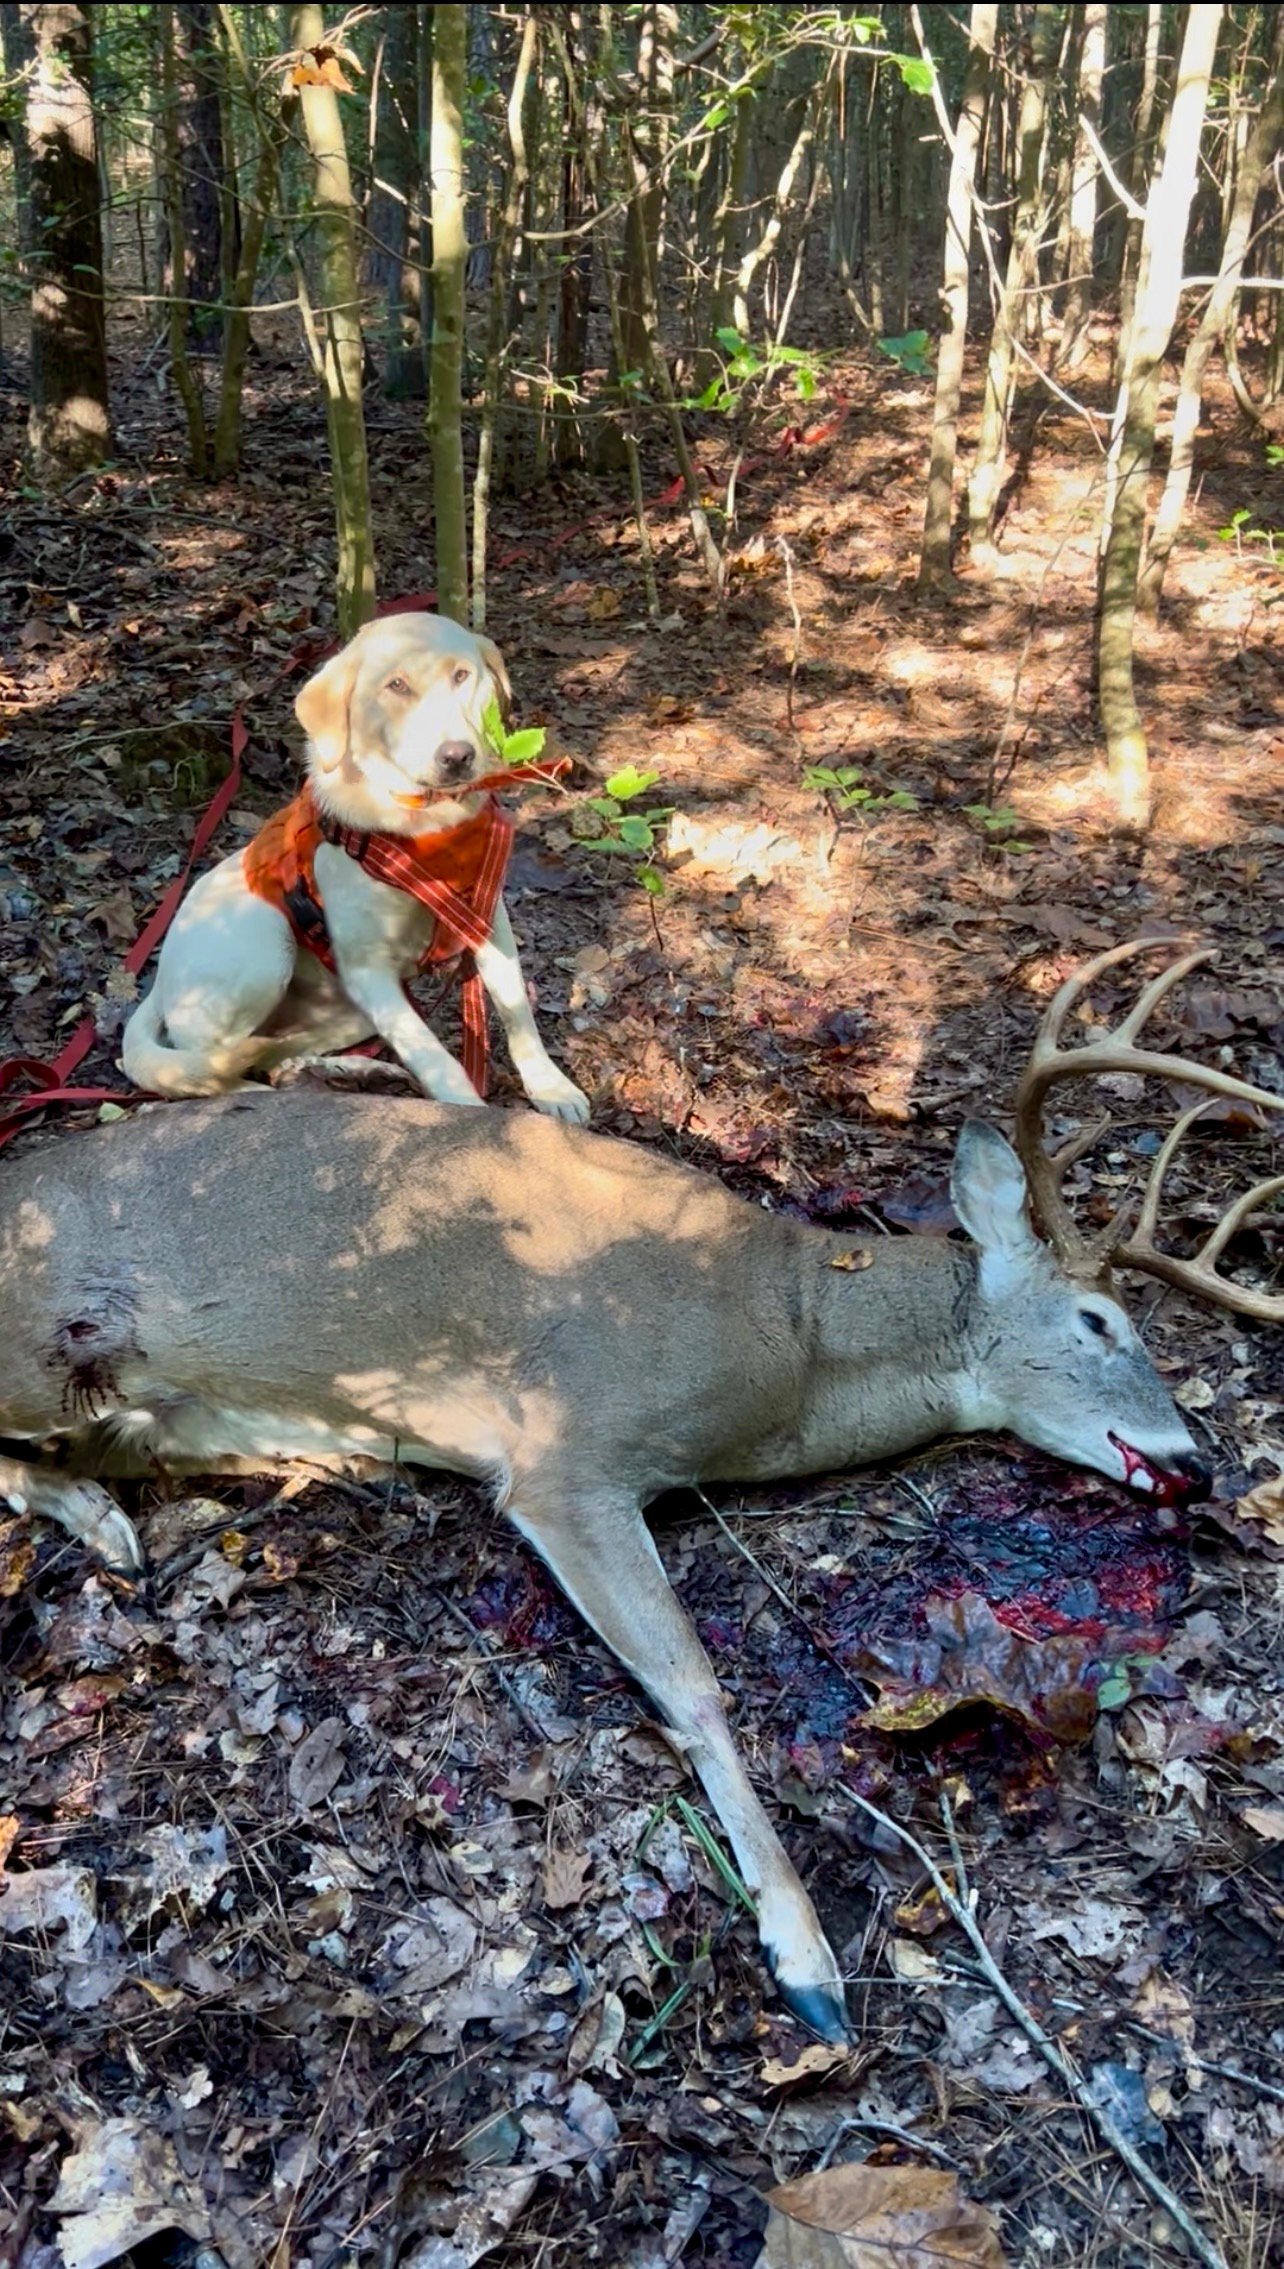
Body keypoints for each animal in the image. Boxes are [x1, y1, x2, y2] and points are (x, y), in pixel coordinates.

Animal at [1, 942, 1281, 2042]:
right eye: (1101, 1320)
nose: (1199, 1462)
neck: (792, 1338)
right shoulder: (570, 1451)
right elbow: (694, 1685)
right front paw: (806, 1960)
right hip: (46, 1342)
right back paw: (105, 1514)